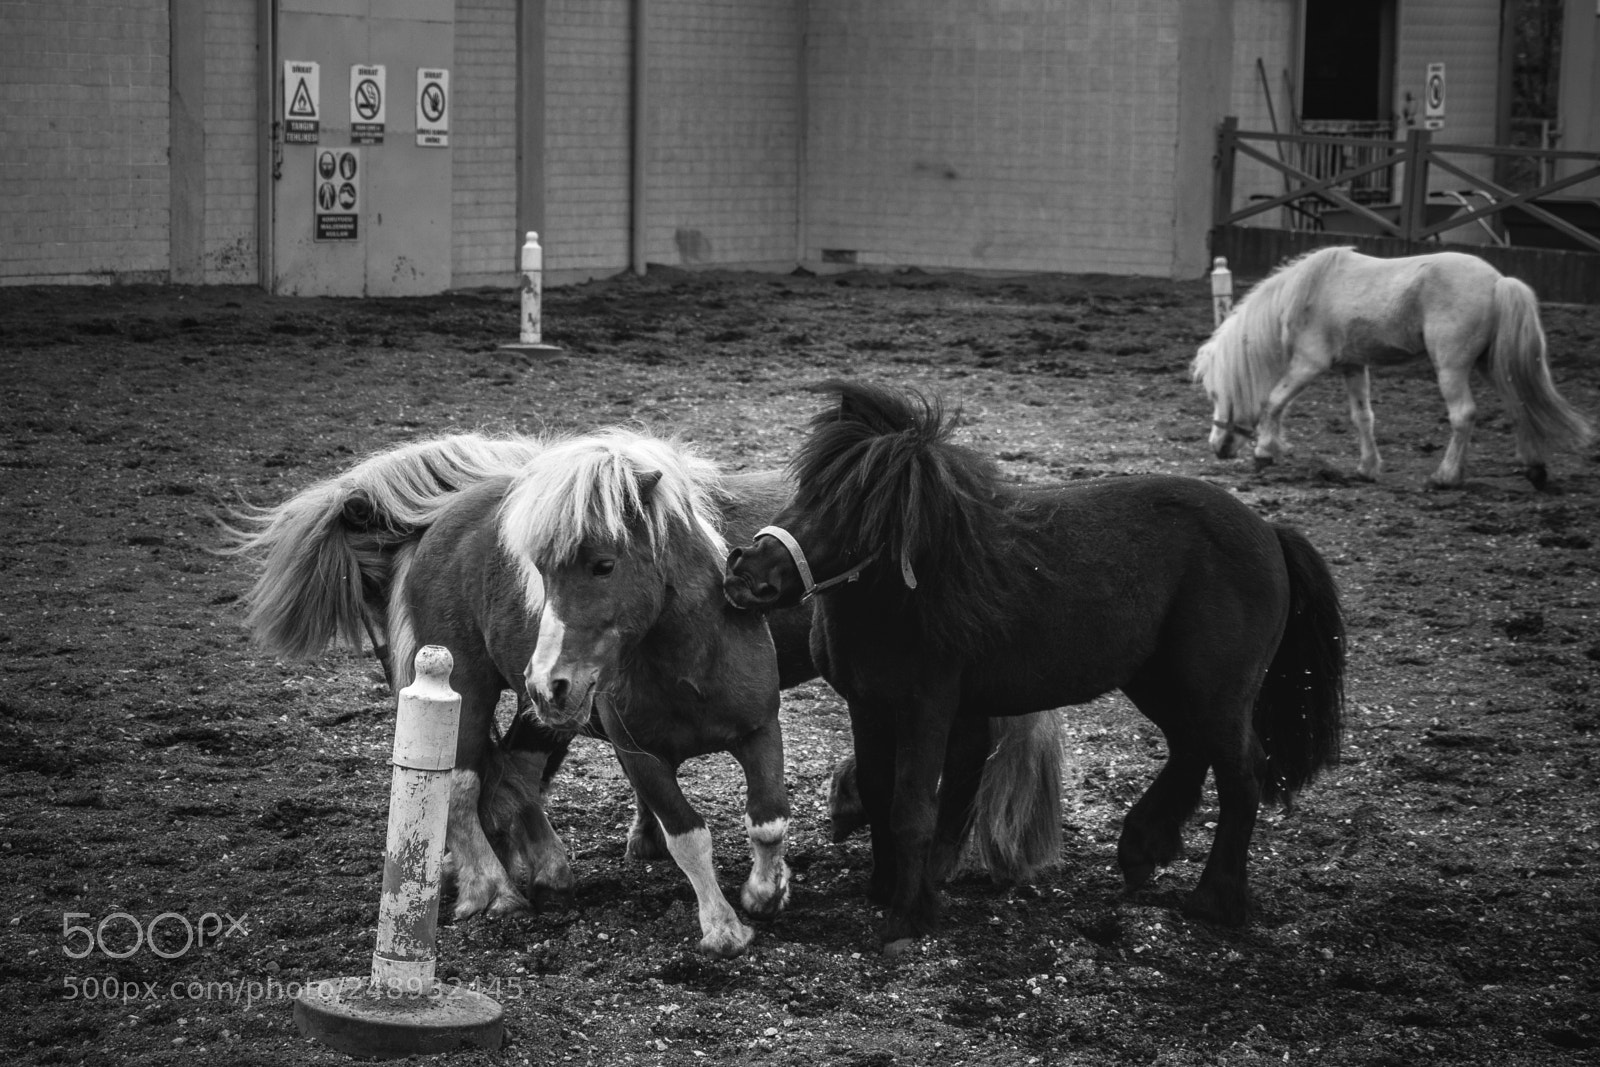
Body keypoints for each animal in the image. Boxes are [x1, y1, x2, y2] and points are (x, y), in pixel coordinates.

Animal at [224, 429, 1064, 953]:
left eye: (601, 566)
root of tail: (444, 519)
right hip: (479, 684)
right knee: (467, 782)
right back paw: (495, 887)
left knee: (501, 773)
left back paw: (535, 868)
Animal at [724, 381, 1347, 951]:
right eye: (808, 489)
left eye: (860, 513)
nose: (745, 571)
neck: (905, 597)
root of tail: (1269, 530)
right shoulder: (868, 704)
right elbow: (880, 793)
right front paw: (885, 887)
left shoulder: (928, 707)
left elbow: (912, 808)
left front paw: (905, 919)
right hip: (1162, 682)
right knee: (1192, 749)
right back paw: (1142, 848)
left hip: (1215, 690)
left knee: (1242, 771)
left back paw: (1215, 899)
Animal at [1192, 246, 1593, 488]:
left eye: (1216, 393)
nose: (1216, 447)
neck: (1305, 295)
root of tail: (1498, 282)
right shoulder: (1353, 366)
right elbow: (1362, 417)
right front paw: (1368, 468)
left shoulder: (1309, 364)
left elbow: (1273, 401)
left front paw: (1265, 453)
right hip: (1491, 366)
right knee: (1520, 404)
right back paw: (1533, 466)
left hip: (1450, 367)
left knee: (1463, 414)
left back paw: (1446, 476)